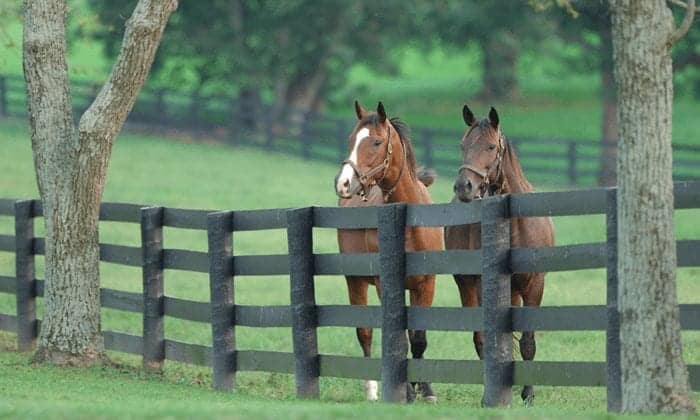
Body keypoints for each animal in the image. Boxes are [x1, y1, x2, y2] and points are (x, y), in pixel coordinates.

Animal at [334, 101, 443, 403]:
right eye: (351, 139)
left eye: (376, 141)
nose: (344, 183)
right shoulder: (386, 285)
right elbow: (398, 338)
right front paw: (405, 391)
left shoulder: (426, 284)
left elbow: (418, 337)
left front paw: (425, 389)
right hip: (356, 282)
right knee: (365, 333)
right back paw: (372, 390)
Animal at [444, 105, 555, 405]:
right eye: (462, 145)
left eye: (491, 146)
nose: (464, 186)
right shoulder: (482, 285)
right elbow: (488, 339)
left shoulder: (535, 284)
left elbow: (528, 342)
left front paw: (528, 394)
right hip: (466, 286)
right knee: (481, 339)